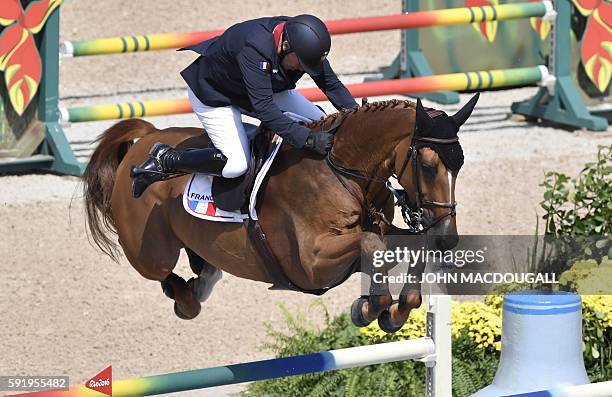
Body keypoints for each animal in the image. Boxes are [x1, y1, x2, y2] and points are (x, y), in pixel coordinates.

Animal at [81, 94, 478, 332]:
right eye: (428, 166)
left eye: (459, 166)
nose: (448, 238)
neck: (344, 172)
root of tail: (147, 139)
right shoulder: (312, 263)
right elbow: (371, 245)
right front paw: (370, 307)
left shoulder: (383, 229)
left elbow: (407, 247)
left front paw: (393, 313)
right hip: (150, 252)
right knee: (166, 275)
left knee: (202, 267)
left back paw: (202, 279)